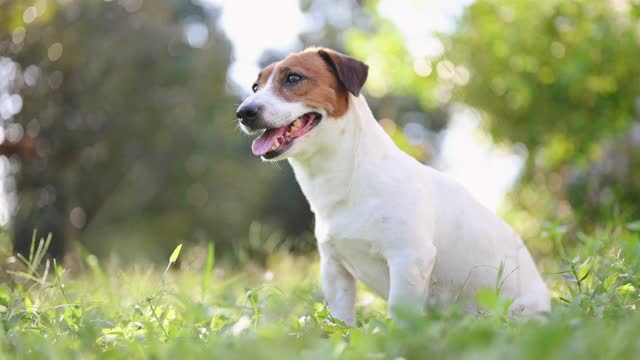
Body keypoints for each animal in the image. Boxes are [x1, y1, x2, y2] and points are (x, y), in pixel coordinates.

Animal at [235, 46, 552, 324]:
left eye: (293, 78)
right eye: (255, 86)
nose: (244, 112)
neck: (347, 178)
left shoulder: (409, 259)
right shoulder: (334, 269)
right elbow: (341, 319)